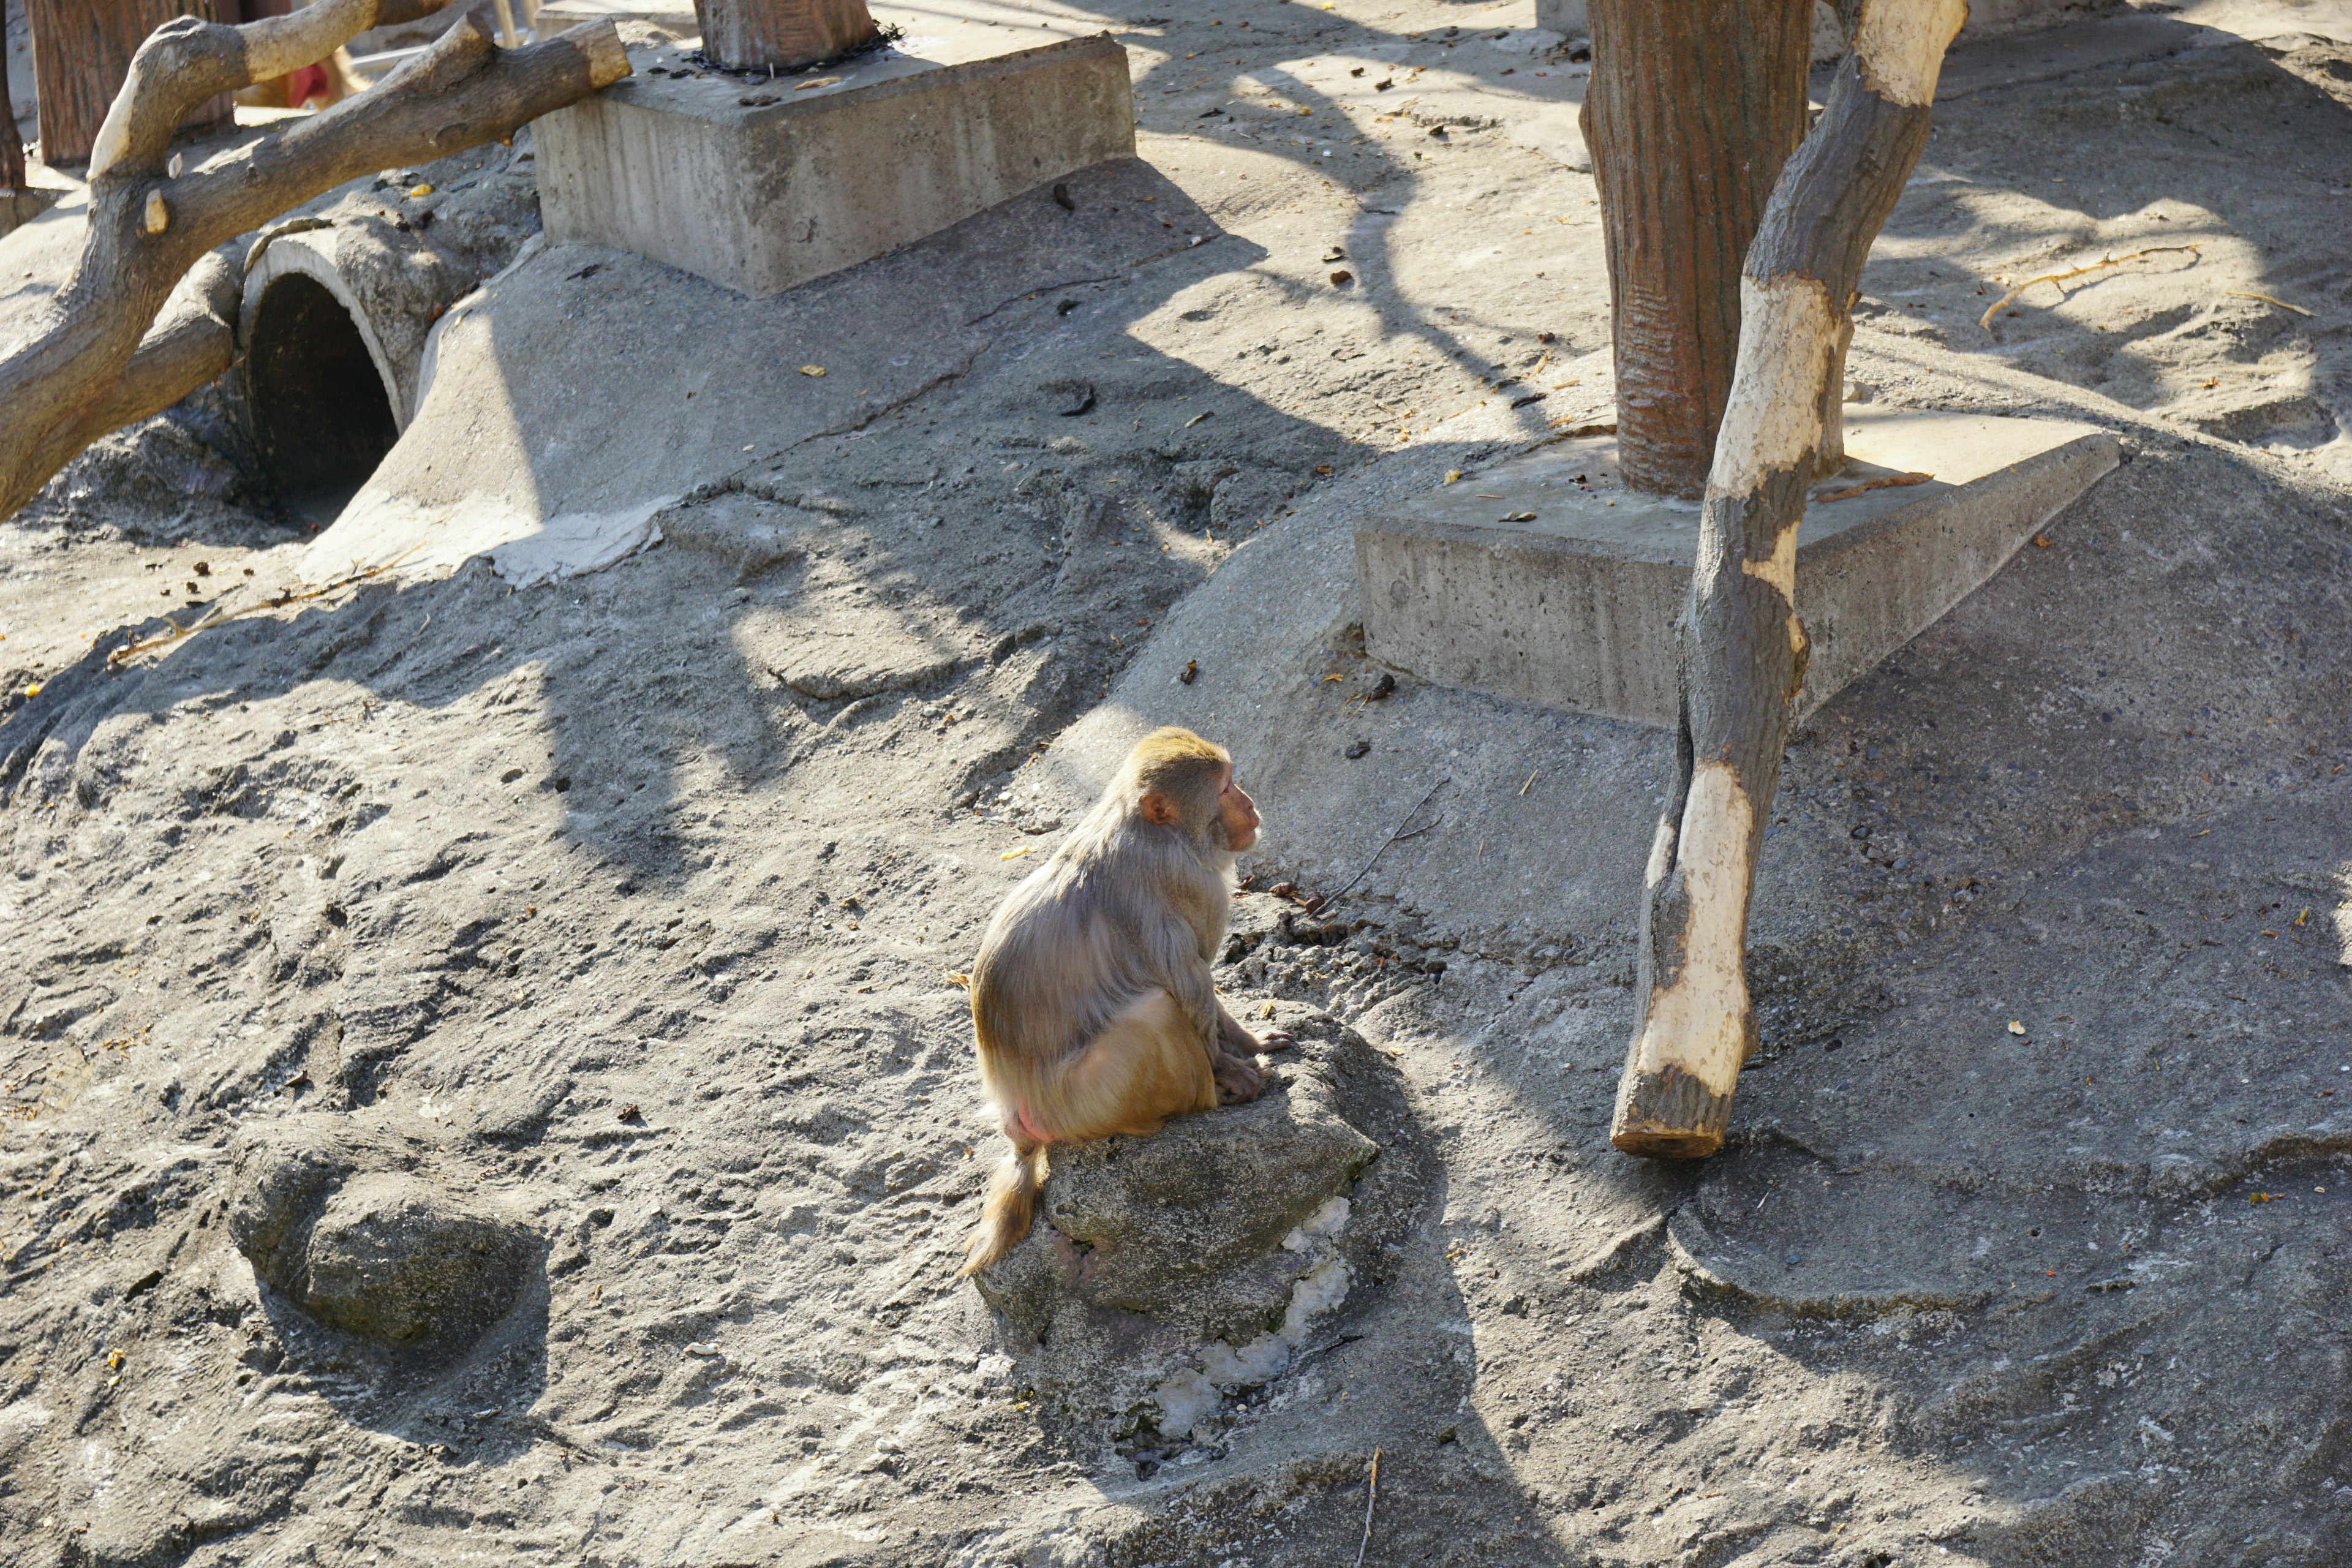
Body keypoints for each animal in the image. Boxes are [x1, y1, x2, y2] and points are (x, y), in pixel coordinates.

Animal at [955, 728, 1298, 1278]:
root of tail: (1017, 1116)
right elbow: (1186, 976)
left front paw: (1251, 1041)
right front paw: (1232, 1065)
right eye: (1225, 788)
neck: (1149, 828)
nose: (1250, 804)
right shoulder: (1190, 881)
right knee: (1157, 1010)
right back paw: (1210, 1098)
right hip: (1088, 1098)